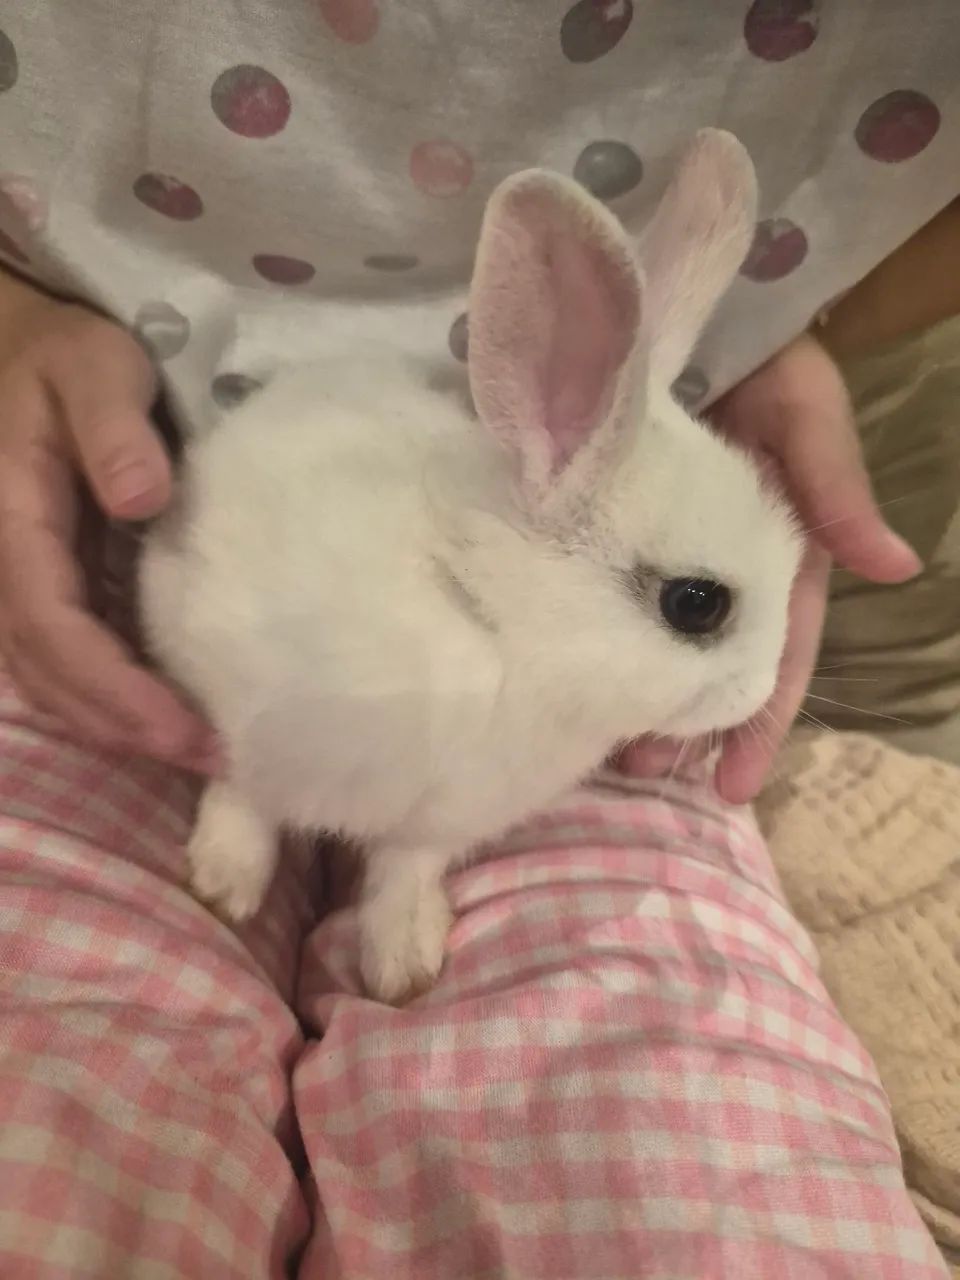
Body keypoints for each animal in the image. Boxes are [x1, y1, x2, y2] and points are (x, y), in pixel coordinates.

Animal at [139, 129, 801, 1004]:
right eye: (696, 603)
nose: (760, 691)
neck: (489, 621)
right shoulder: (248, 722)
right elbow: (243, 794)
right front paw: (223, 883)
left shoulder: (438, 822)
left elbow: (401, 870)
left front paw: (405, 966)